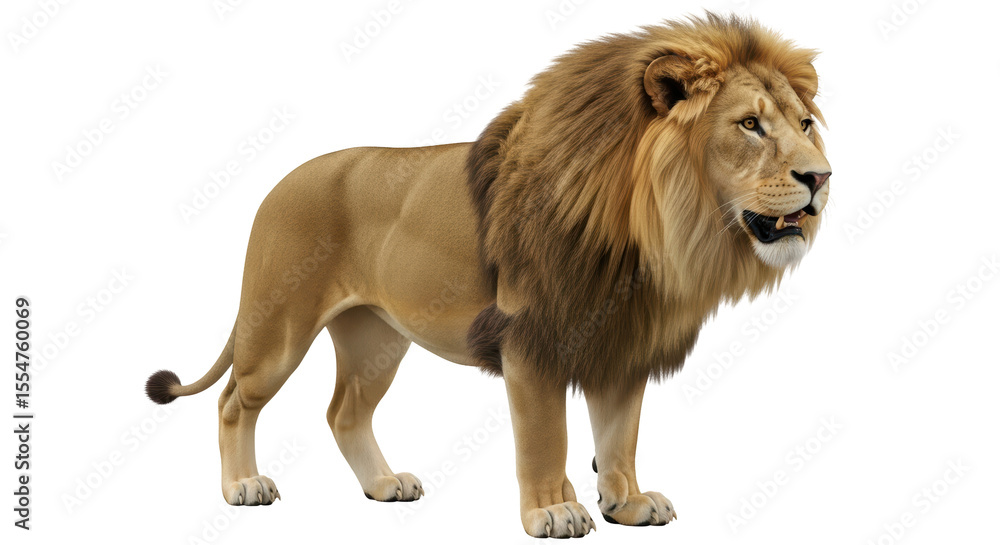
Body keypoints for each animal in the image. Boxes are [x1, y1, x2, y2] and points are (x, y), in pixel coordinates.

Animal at [146, 13, 830, 538]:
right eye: (749, 124)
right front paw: (555, 511)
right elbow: (547, 437)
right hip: (279, 328)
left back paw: (383, 485)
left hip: (376, 338)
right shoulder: (531, 340)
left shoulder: (622, 343)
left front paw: (628, 502)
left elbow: (620, 435)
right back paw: (243, 485)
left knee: (344, 412)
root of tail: (280, 182)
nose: (821, 177)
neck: (650, 238)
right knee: (234, 400)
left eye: (804, 125)